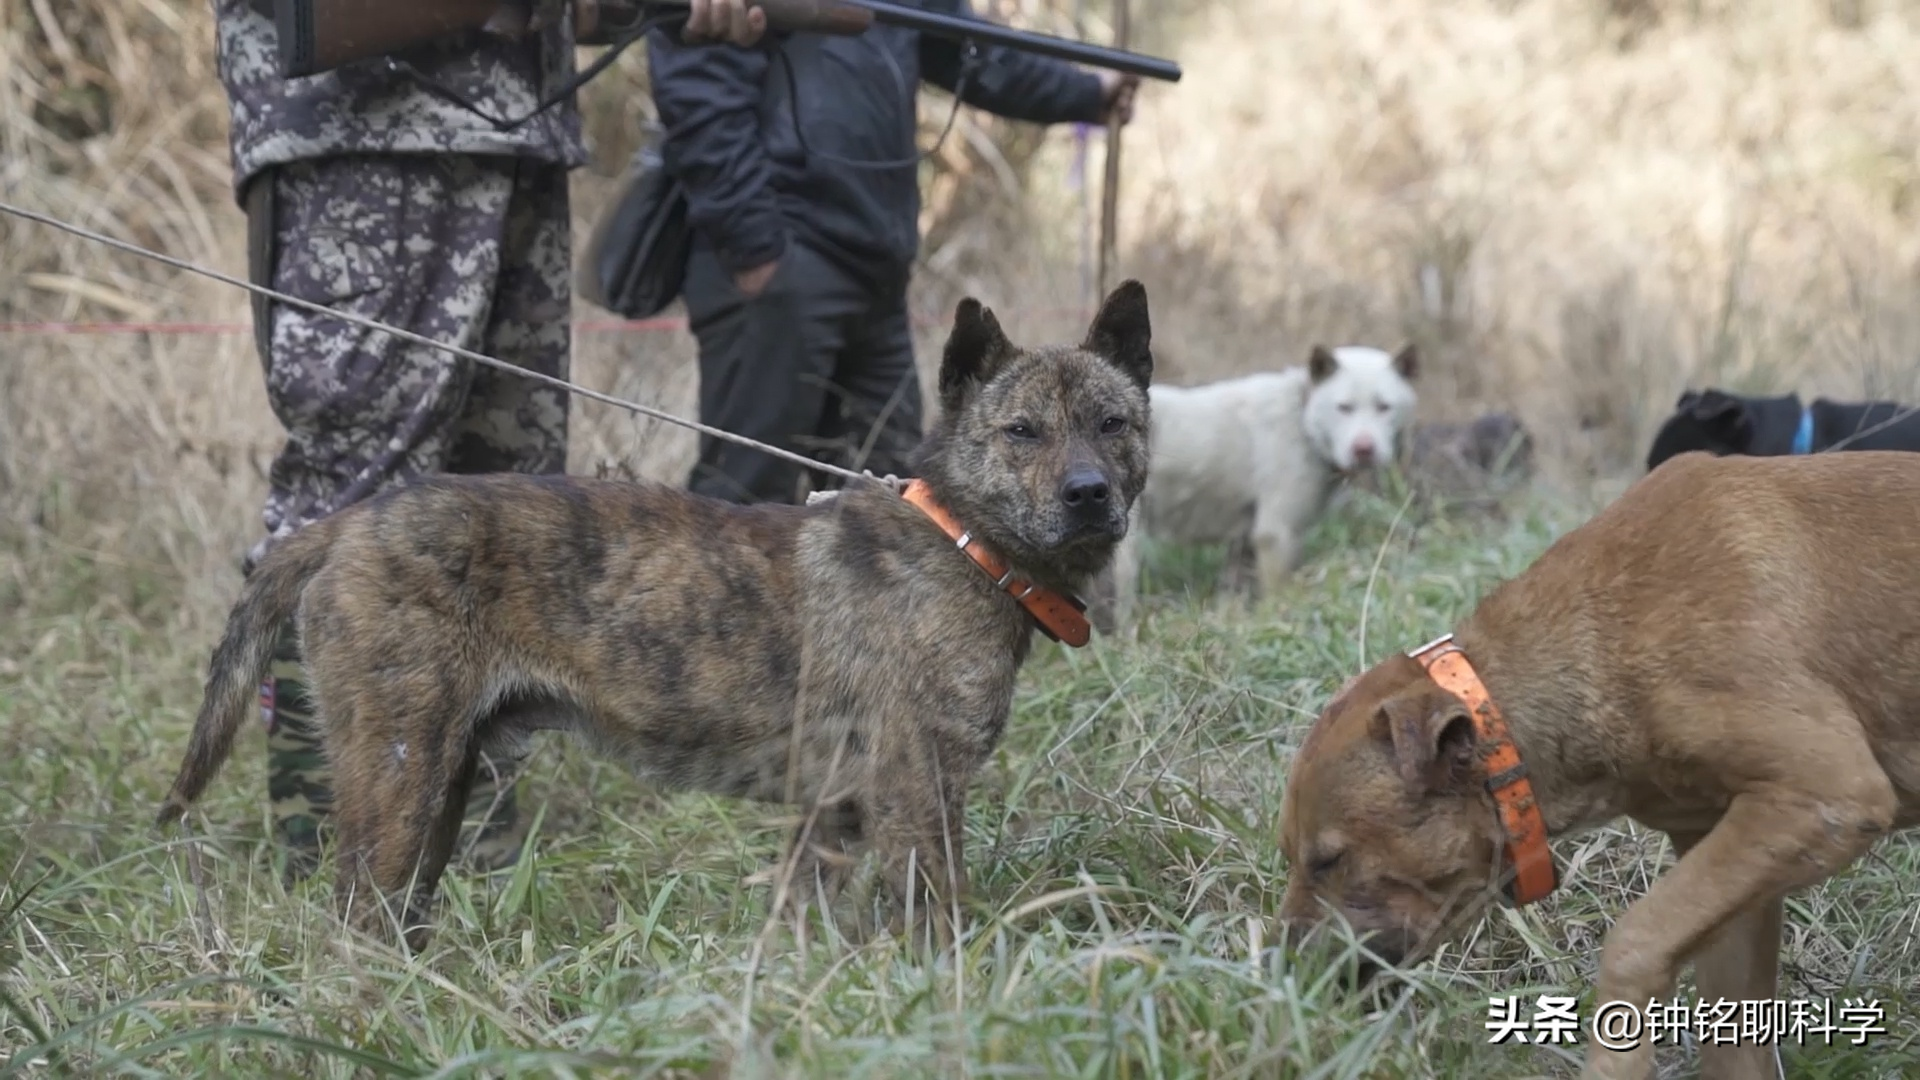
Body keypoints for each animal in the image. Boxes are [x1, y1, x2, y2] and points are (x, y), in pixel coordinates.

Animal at [153, 284, 1152, 949]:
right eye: (1021, 432)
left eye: (1113, 424)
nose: (1089, 495)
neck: (964, 543)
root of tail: (348, 523)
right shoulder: (917, 795)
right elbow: (940, 924)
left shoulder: (830, 815)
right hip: (398, 778)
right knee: (351, 922)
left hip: (439, 787)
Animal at [1105, 340, 1420, 618]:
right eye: (1344, 407)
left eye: (1384, 406)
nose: (1363, 449)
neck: (1302, 419)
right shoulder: (1276, 533)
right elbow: (1278, 593)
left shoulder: (1245, 542)